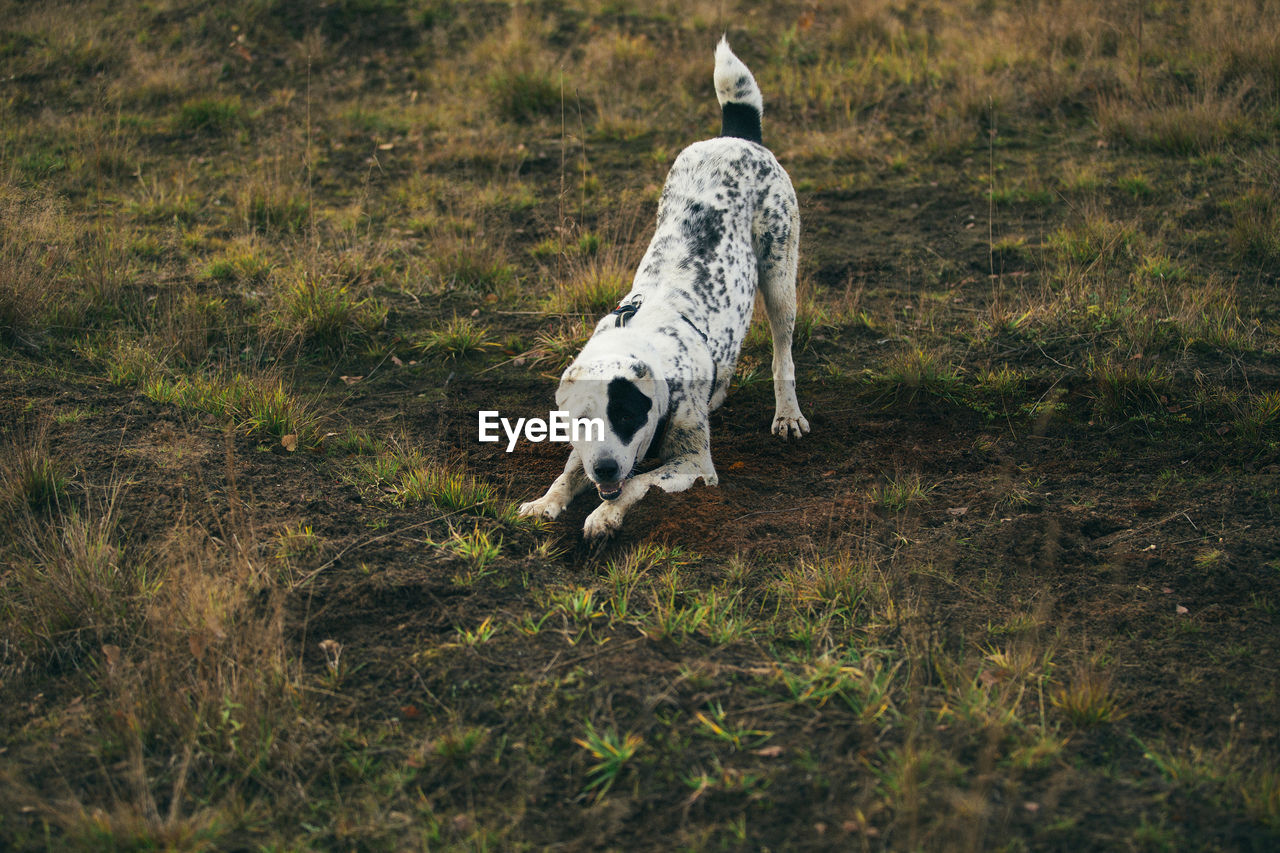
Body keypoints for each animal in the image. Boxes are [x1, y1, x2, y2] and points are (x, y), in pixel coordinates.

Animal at [519, 39, 808, 537]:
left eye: (625, 415)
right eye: (581, 422)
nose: (605, 469)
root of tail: (738, 136)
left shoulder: (693, 465)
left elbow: (638, 483)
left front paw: (606, 516)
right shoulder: (587, 455)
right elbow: (568, 474)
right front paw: (546, 503)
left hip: (779, 275)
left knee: (782, 351)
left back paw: (787, 413)